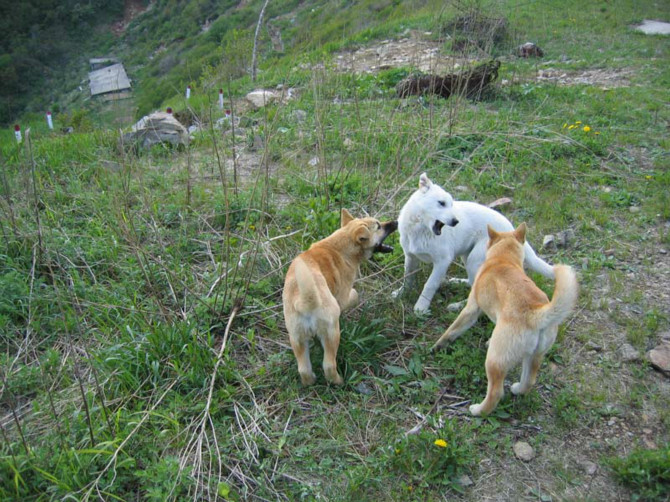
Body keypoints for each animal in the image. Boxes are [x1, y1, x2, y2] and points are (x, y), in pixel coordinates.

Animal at [284, 208, 400, 384]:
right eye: (379, 226)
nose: (396, 222)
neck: (342, 246)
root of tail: (305, 301)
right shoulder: (343, 297)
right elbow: (355, 295)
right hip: (331, 333)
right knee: (328, 365)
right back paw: (339, 381)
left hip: (297, 337)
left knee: (303, 369)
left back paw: (310, 382)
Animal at [394, 174, 556, 314]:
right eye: (441, 203)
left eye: (451, 204)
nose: (456, 222)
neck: (420, 229)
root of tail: (511, 230)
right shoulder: (410, 256)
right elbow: (407, 277)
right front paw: (401, 293)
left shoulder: (442, 261)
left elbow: (430, 284)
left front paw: (421, 308)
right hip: (467, 257)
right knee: (473, 282)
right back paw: (456, 282)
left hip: (474, 259)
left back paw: (457, 306)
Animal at [434, 224, 580, 416]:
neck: (503, 259)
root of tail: (535, 313)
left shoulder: (472, 308)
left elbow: (452, 330)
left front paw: (437, 346)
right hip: (534, 356)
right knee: (529, 380)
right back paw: (518, 389)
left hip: (494, 362)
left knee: (496, 392)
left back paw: (478, 410)